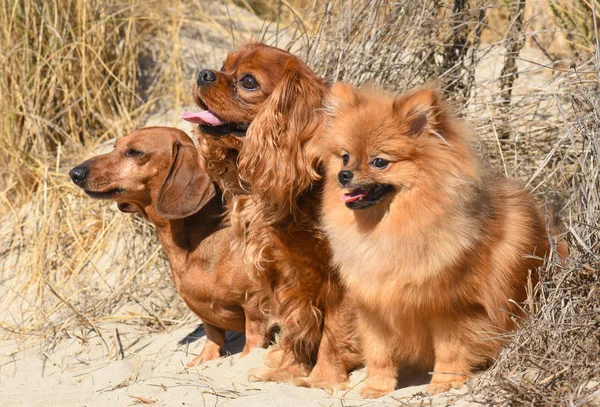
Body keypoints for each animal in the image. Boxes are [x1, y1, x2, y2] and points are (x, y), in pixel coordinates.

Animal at [68, 126, 270, 366]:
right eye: (115, 146)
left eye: (135, 152)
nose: (75, 173)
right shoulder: (206, 317)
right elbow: (212, 338)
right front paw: (203, 360)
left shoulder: (254, 304)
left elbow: (253, 339)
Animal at [183, 43, 360, 388]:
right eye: (224, 65)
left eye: (248, 82)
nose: (203, 73)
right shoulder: (283, 272)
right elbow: (294, 324)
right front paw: (286, 370)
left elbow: (334, 331)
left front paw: (322, 379)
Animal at [322, 83, 568, 398]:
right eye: (344, 157)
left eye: (379, 162)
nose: (343, 175)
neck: (388, 231)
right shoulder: (374, 306)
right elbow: (379, 352)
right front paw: (377, 386)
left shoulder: (453, 308)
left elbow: (451, 349)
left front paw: (444, 382)